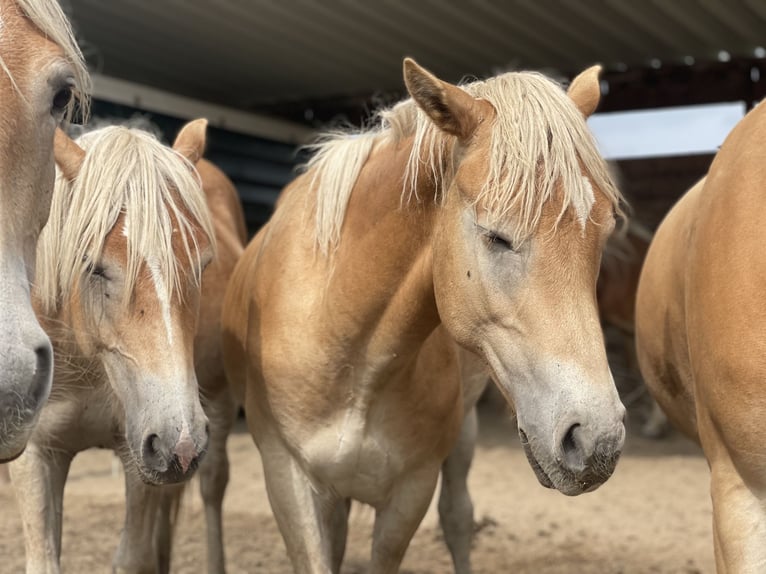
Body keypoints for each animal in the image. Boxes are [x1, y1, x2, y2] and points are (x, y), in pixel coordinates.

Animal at [222, 56, 632, 572]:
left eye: (602, 234)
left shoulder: (411, 490)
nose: (597, 441)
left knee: (458, 518)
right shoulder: (287, 478)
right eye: (495, 236)